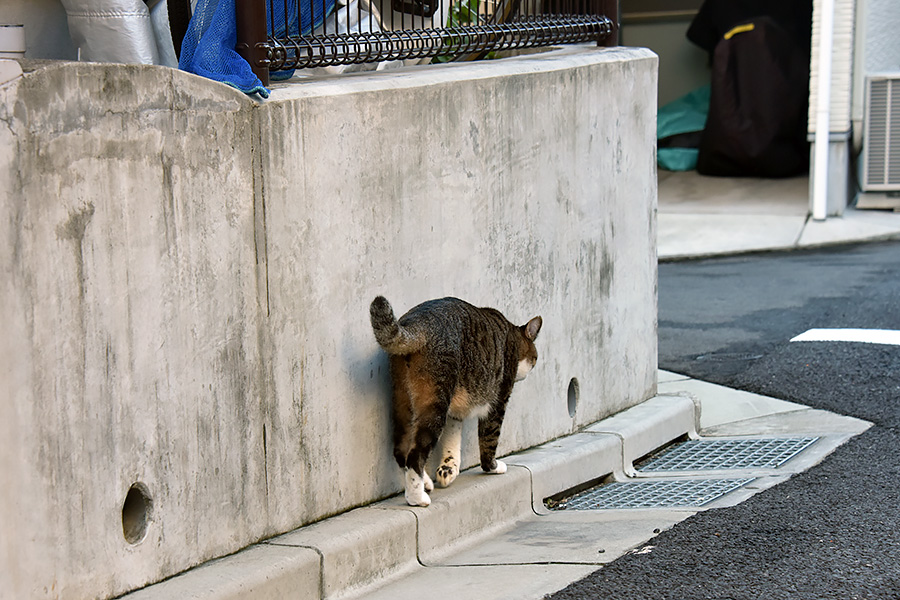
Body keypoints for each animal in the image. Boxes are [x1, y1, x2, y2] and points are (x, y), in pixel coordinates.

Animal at [368, 296, 540, 506]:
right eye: (535, 358)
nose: (530, 370)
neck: (511, 334)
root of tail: (419, 322)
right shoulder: (498, 402)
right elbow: (489, 440)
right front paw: (493, 467)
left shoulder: (455, 411)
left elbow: (452, 437)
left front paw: (449, 468)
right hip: (435, 402)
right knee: (415, 455)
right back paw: (417, 498)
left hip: (403, 398)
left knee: (401, 450)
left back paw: (425, 482)